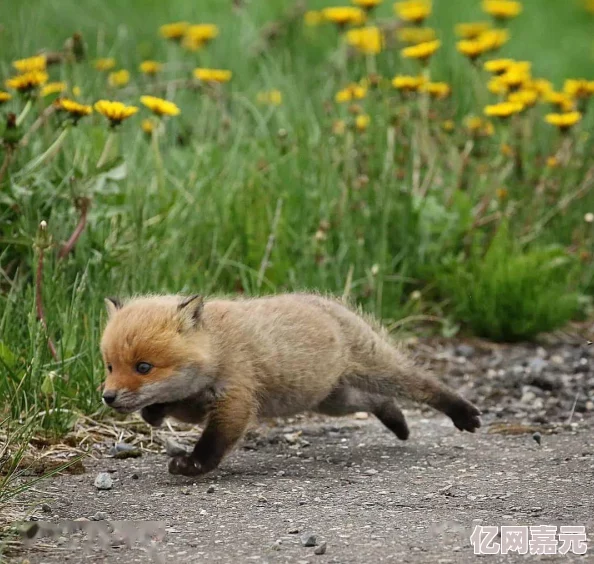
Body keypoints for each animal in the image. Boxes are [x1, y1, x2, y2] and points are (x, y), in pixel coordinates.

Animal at [99, 296, 478, 476]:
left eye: (143, 367)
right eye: (110, 366)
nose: (107, 397)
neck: (218, 347)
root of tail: (330, 302)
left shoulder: (236, 399)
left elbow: (215, 442)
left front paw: (193, 465)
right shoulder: (198, 401)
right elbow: (172, 406)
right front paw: (154, 413)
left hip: (376, 371)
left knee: (422, 384)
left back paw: (463, 413)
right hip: (332, 399)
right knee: (377, 401)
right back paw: (397, 422)